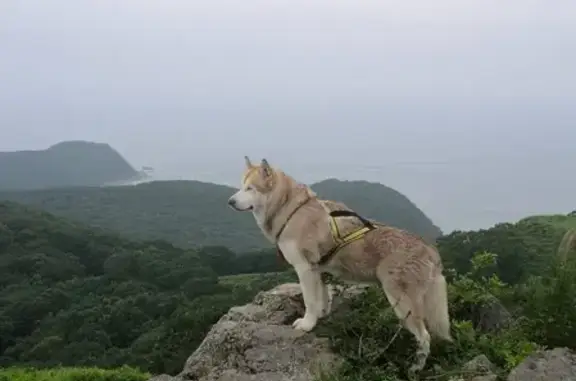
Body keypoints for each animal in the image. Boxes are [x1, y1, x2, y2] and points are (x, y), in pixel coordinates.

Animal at [227, 155, 452, 372]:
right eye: (241, 186)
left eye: (250, 188)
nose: (230, 201)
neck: (291, 210)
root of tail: (429, 249)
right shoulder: (318, 270)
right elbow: (322, 297)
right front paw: (321, 315)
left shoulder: (305, 269)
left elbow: (309, 301)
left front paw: (307, 324)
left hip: (402, 303)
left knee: (424, 336)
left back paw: (416, 367)